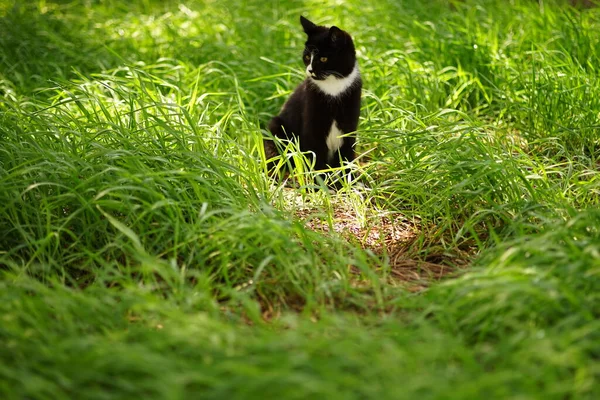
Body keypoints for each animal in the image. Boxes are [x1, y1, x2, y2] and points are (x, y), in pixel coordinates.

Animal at [264, 16, 360, 182]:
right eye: (307, 57)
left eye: (323, 58)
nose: (310, 70)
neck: (333, 87)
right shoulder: (313, 125)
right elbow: (316, 156)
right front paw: (319, 182)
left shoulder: (349, 126)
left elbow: (346, 156)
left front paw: (347, 181)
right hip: (276, 128)